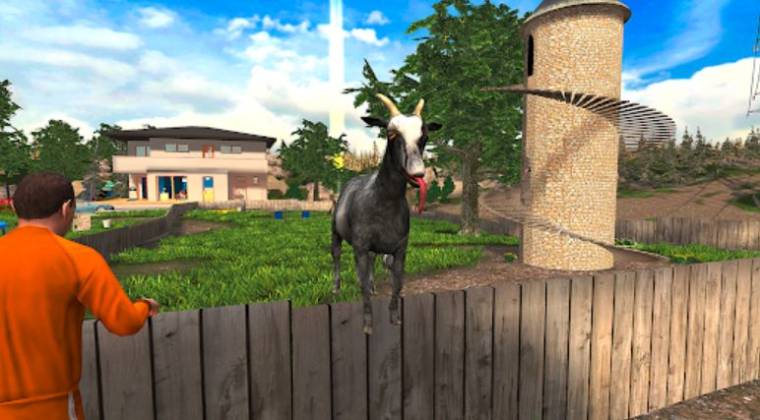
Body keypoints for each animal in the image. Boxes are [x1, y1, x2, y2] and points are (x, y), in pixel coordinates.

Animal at [331, 93, 442, 335]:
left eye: (425, 136)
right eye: (391, 134)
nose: (418, 173)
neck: (383, 202)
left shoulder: (400, 249)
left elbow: (398, 283)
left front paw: (395, 318)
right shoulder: (361, 247)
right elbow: (362, 284)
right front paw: (367, 325)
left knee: (373, 261)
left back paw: (373, 286)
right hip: (335, 230)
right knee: (336, 254)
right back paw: (335, 288)